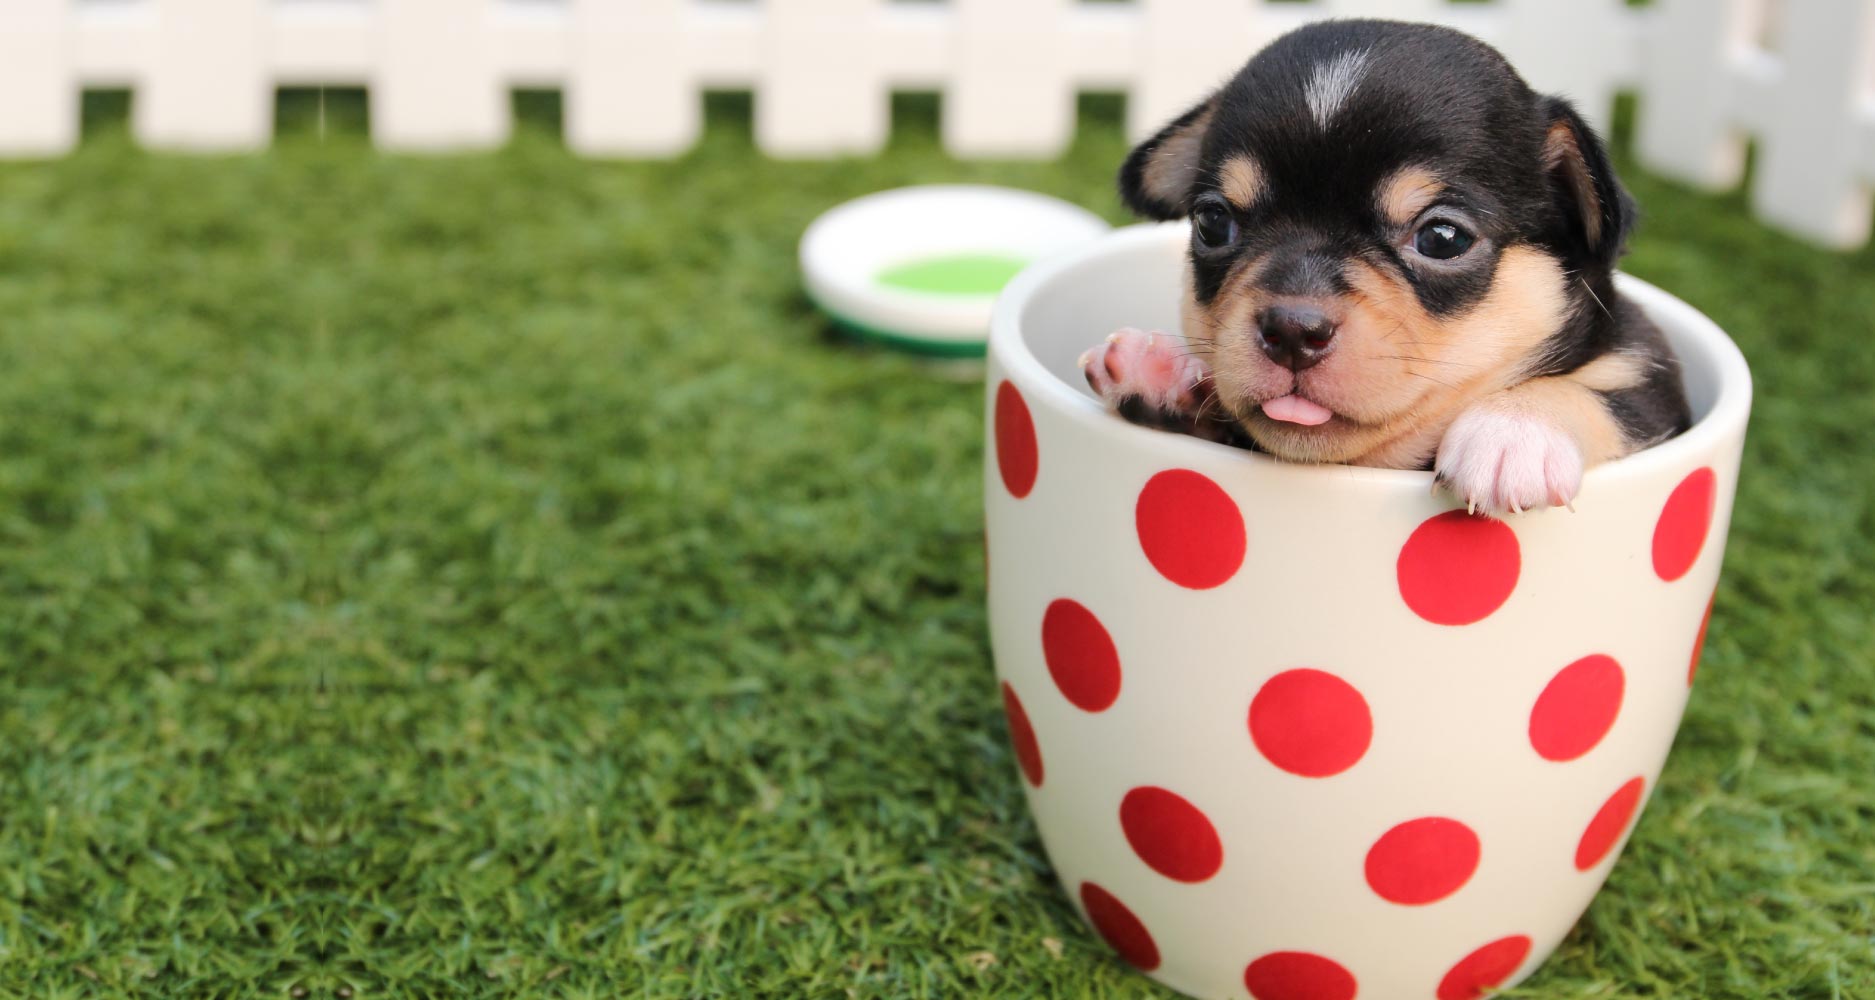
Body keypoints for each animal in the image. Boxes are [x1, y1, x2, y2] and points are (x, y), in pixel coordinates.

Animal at [1080, 21, 1695, 514]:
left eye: (1442, 238)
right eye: (1212, 222)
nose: (1292, 330)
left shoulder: (1652, 381)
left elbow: (1602, 393)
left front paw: (1513, 431)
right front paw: (1160, 369)